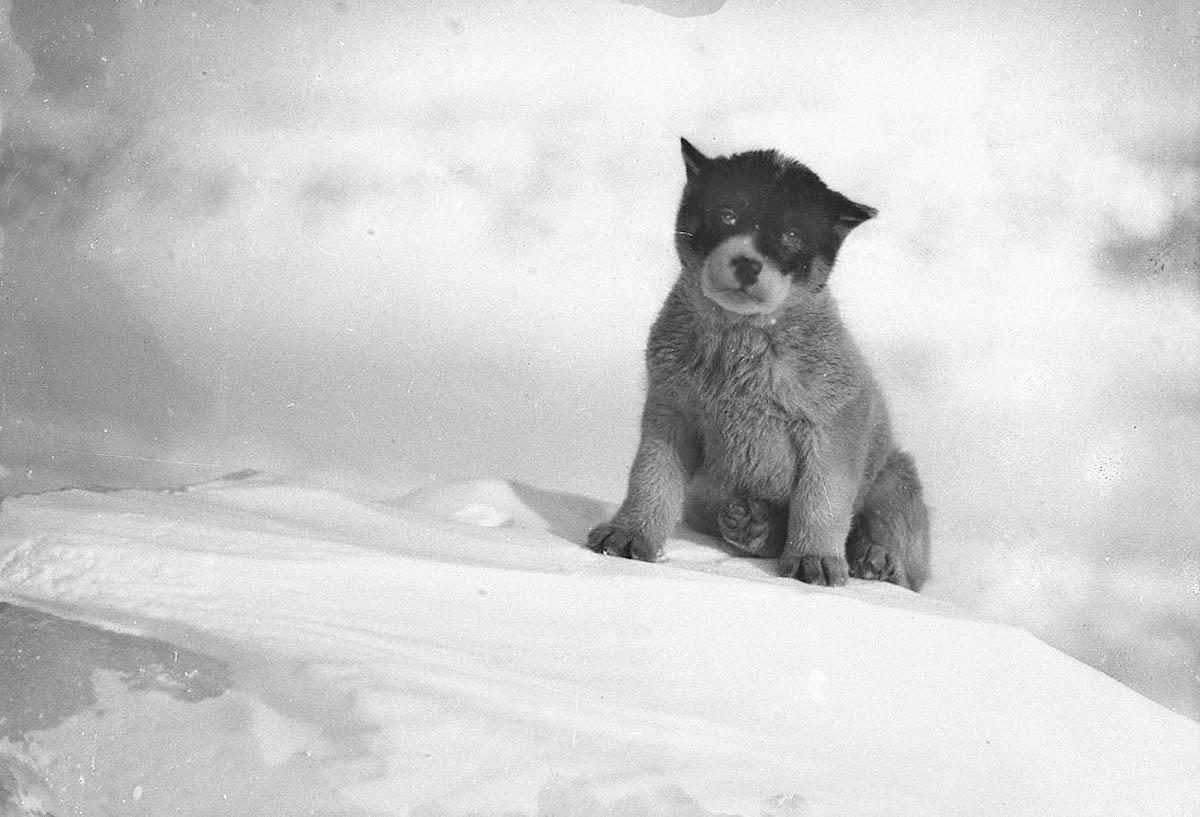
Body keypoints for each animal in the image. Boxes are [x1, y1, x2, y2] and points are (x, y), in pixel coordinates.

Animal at [585, 138, 931, 585]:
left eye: (792, 235)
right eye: (728, 214)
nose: (748, 263)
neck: (740, 344)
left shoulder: (833, 426)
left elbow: (822, 500)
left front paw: (815, 559)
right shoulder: (671, 412)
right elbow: (650, 479)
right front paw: (629, 534)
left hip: (895, 479)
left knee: (904, 564)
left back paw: (875, 559)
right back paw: (755, 525)